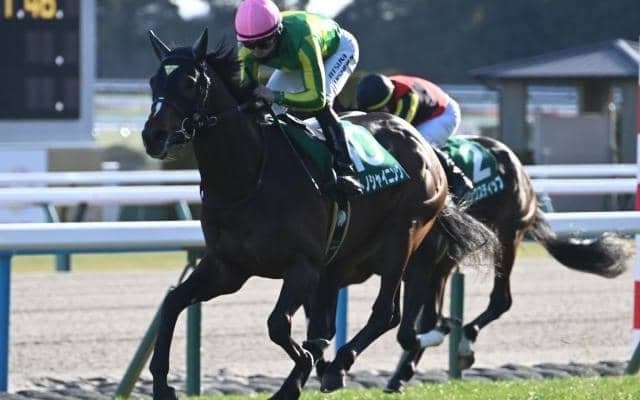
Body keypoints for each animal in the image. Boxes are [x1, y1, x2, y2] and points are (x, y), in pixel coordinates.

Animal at [140, 29, 498, 400]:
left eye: (189, 82)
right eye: (153, 81)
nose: (153, 136)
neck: (248, 177)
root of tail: (424, 145)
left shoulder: (304, 266)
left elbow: (278, 325)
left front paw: (299, 371)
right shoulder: (228, 267)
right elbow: (173, 302)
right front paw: (161, 383)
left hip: (403, 236)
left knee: (387, 313)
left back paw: (342, 363)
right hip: (344, 255)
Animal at [384, 135, 633, 392]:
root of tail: (521, 170)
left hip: (506, 235)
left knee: (500, 300)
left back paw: (464, 343)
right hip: (454, 255)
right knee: (434, 316)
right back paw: (403, 374)